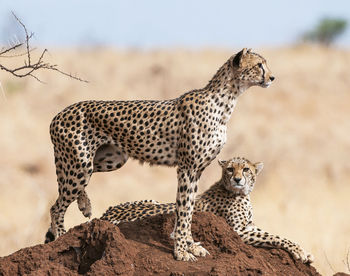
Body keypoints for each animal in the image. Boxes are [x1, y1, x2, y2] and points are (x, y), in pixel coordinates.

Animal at [45, 48, 274, 260]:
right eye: (259, 65)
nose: (272, 78)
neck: (225, 101)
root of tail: (58, 114)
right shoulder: (187, 168)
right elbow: (183, 210)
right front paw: (181, 251)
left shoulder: (197, 170)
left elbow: (190, 208)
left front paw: (191, 245)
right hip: (80, 164)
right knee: (56, 206)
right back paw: (60, 238)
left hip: (109, 159)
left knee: (67, 190)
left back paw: (84, 205)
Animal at [101, 157, 314, 264]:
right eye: (230, 169)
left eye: (245, 169)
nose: (237, 179)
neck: (240, 193)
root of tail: (104, 216)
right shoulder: (238, 232)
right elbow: (275, 237)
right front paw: (299, 252)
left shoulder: (249, 227)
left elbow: (275, 234)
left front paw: (304, 252)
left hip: (151, 200)